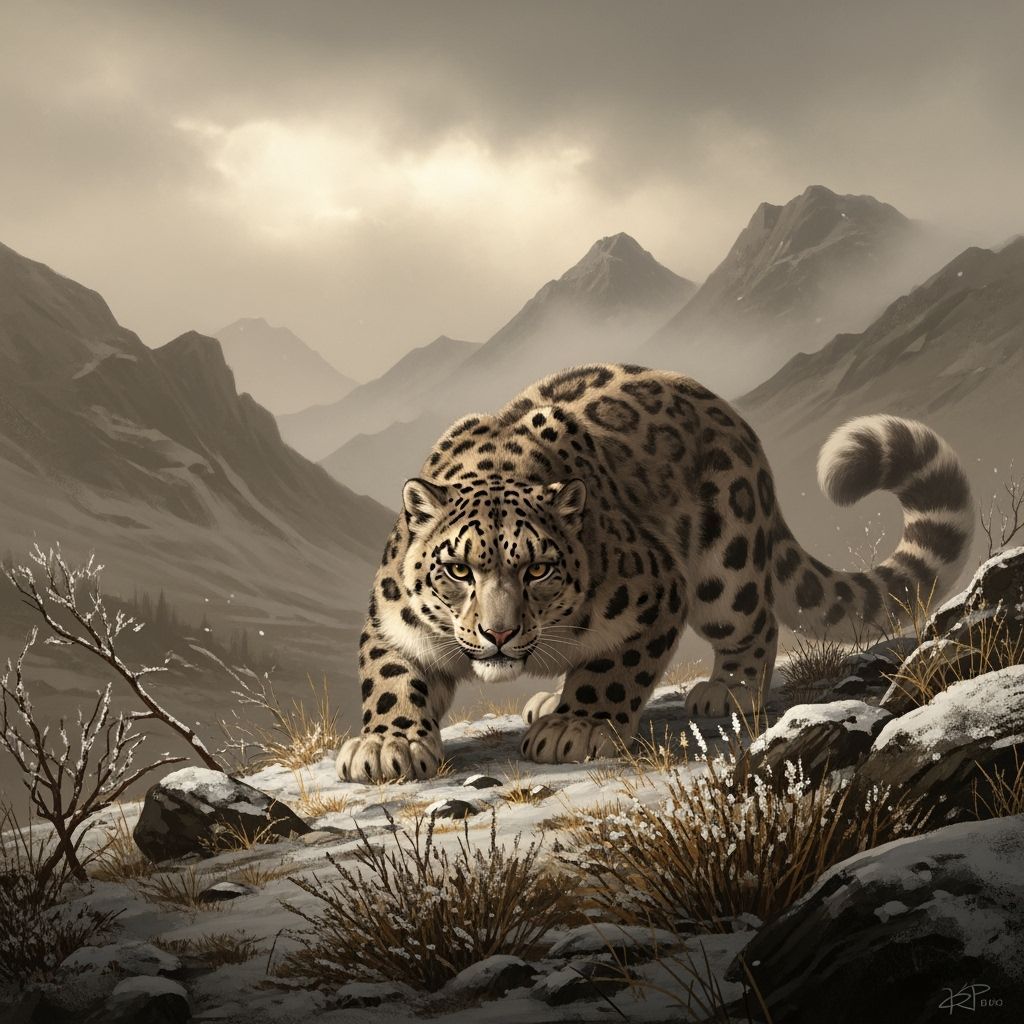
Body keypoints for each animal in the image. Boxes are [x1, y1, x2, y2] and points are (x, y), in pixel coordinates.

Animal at [337, 363, 973, 783]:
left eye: (538, 568)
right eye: (458, 569)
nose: (499, 633)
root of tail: (730, 414)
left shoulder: (656, 592)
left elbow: (615, 671)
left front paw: (578, 727)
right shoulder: (392, 620)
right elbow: (392, 677)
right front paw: (387, 746)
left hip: (725, 571)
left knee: (756, 623)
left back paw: (728, 690)